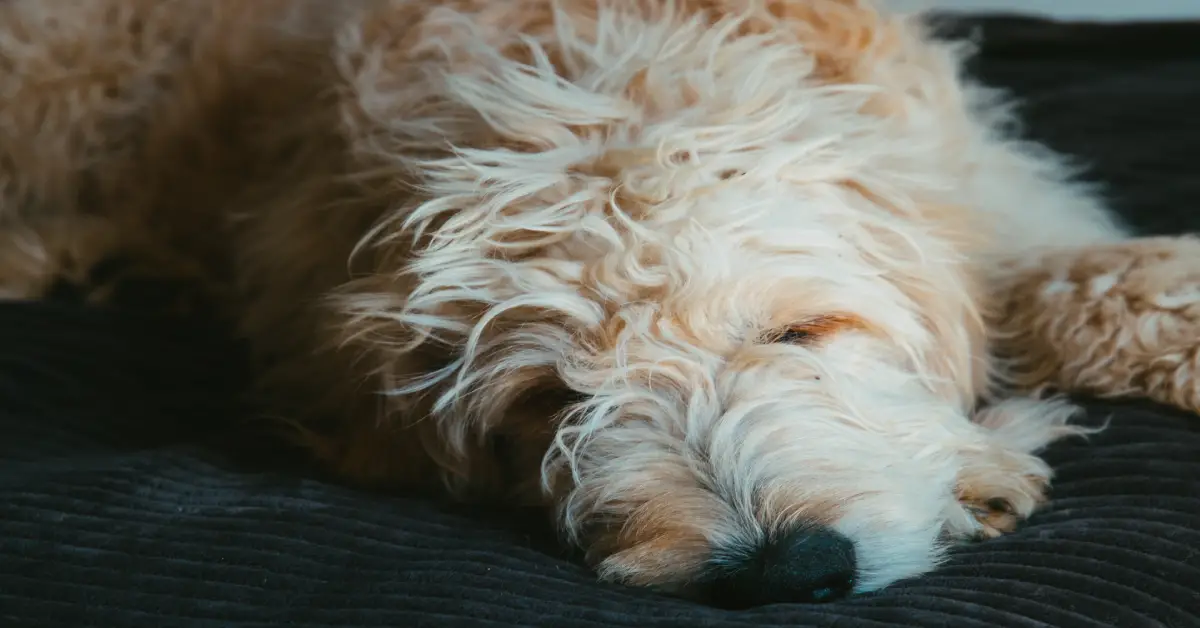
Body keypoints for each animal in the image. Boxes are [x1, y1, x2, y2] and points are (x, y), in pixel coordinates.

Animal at [2, 0, 1200, 609]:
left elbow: (1077, 277)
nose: (786, 571)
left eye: (799, 332)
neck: (614, 76)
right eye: (546, 399)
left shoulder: (983, 183)